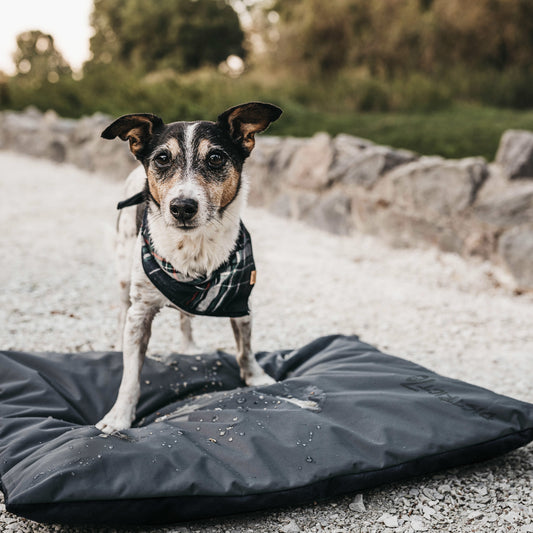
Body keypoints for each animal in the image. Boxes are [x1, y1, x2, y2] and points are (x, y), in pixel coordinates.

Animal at [95, 103, 280, 432]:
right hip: (123, 277)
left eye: (216, 158)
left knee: (185, 318)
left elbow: (245, 347)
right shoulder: (140, 313)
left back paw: (189, 346)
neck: (193, 247)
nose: (182, 207)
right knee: (121, 310)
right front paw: (119, 417)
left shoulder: (241, 300)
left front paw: (256, 377)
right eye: (162, 158)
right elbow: (130, 377)